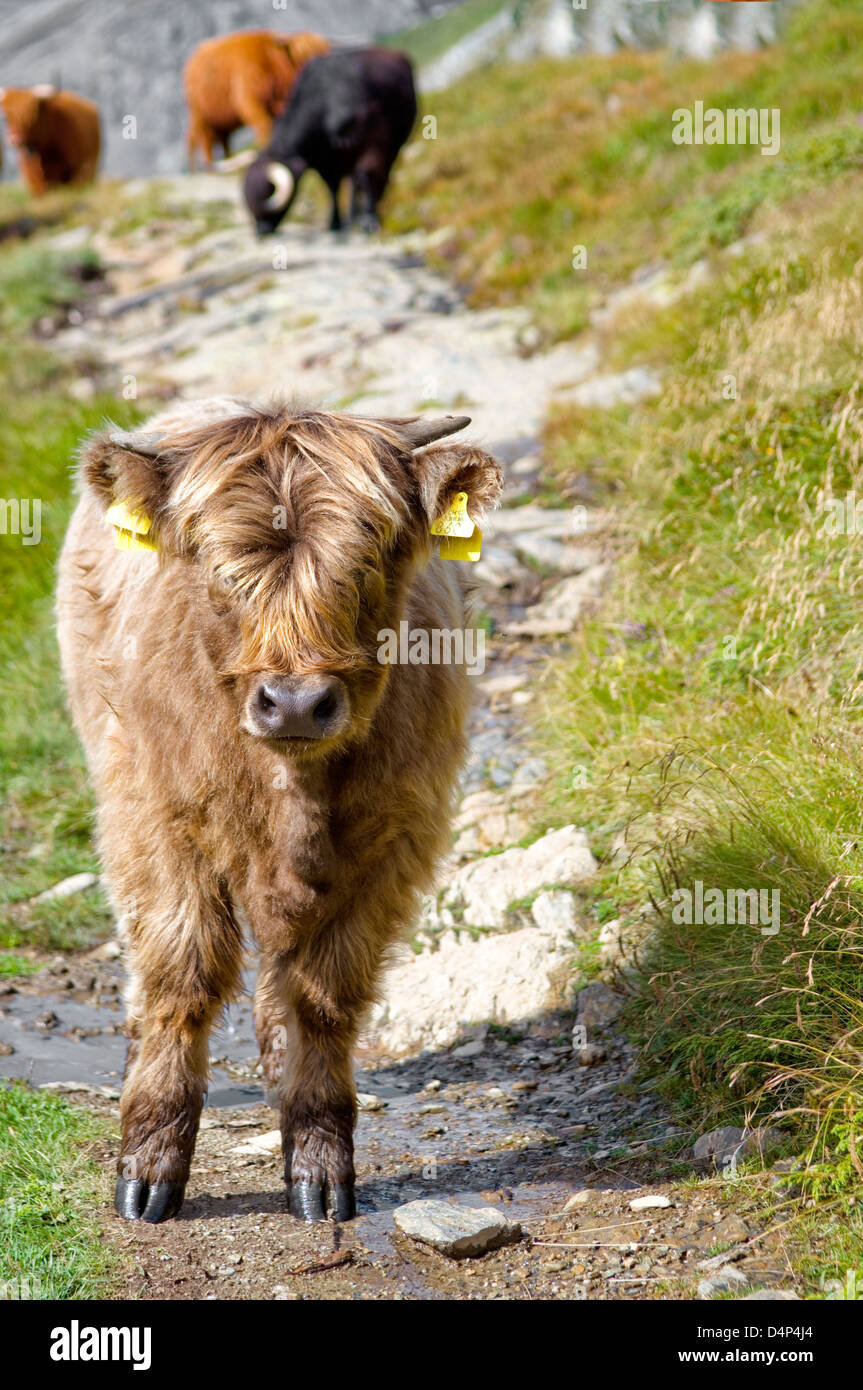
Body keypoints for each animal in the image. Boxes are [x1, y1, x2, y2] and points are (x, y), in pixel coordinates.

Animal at [57, 399, 501, 1224]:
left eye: (371, 555)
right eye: (214, 566)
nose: (295, 702)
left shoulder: (393, 838)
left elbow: (324, 995)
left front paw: (318, 1162)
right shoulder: (153, 821)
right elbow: (181, 974)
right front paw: (149, 1165)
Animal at [183, 29, 330, 169]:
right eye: (303, 55)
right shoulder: (249, 102)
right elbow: (264, 127)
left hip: (219, 124)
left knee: (224, 144)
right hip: (201, 120)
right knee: (205, 146)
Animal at [243, 48, 417, 235]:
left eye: (267, 192)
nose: (262, 230)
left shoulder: (375, 147)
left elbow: (367, 177)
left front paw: (370, 219)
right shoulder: (324, 162)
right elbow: (332, 188)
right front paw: (335, 222)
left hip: (392, 148)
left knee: (375, 178)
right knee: (354, 183)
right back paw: (353, 216)